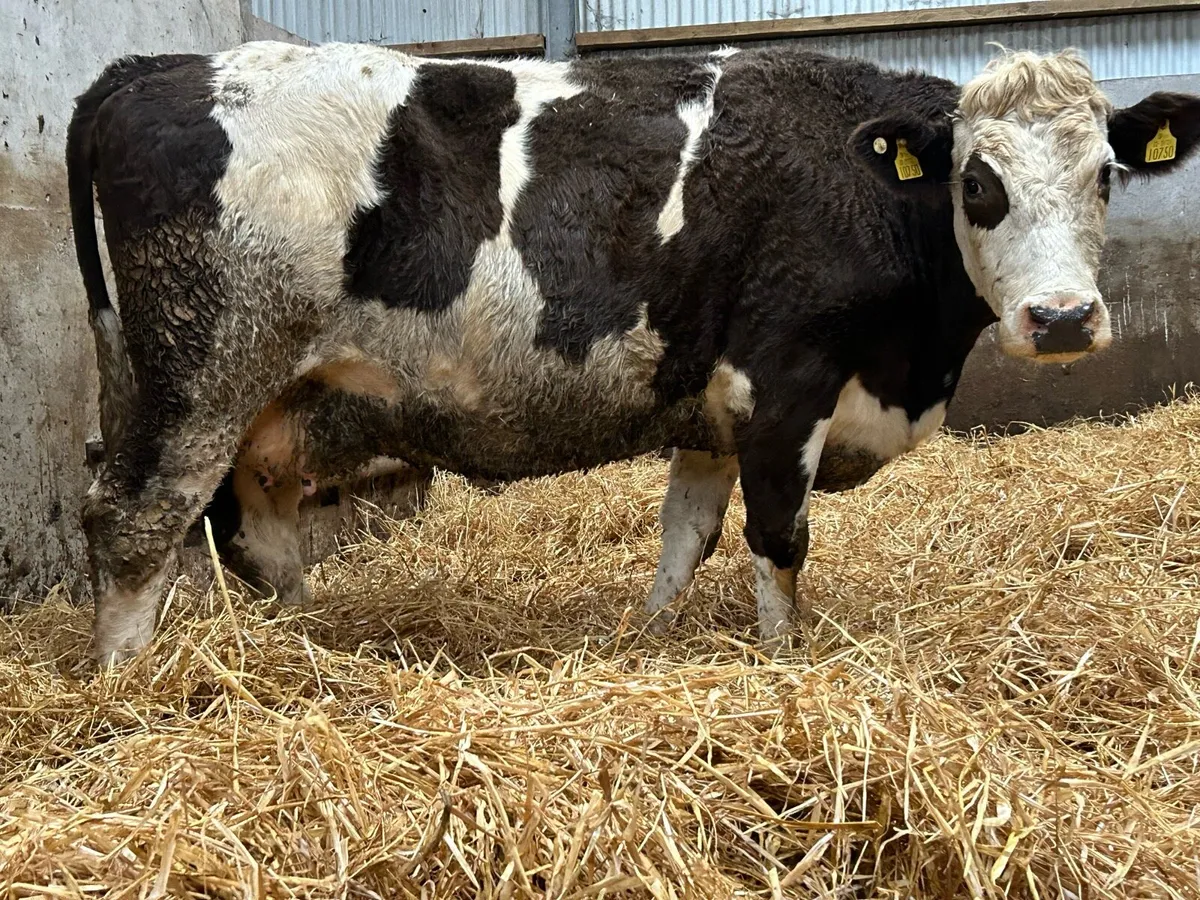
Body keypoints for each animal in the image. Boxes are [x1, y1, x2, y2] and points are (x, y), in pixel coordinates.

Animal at [66, 41, 1200, 666]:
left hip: (254, 396)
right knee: (136, 519)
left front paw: (647, 641)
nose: (1062, 319)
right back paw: (131, 688)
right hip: (200, 370)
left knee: (253, 528)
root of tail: (156, 68)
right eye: (975, 182)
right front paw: (783, 664)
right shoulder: (785, 387)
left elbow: (683, 539)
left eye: (1105, 175)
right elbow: (778, 543)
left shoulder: (708, 403)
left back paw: (299, 644)